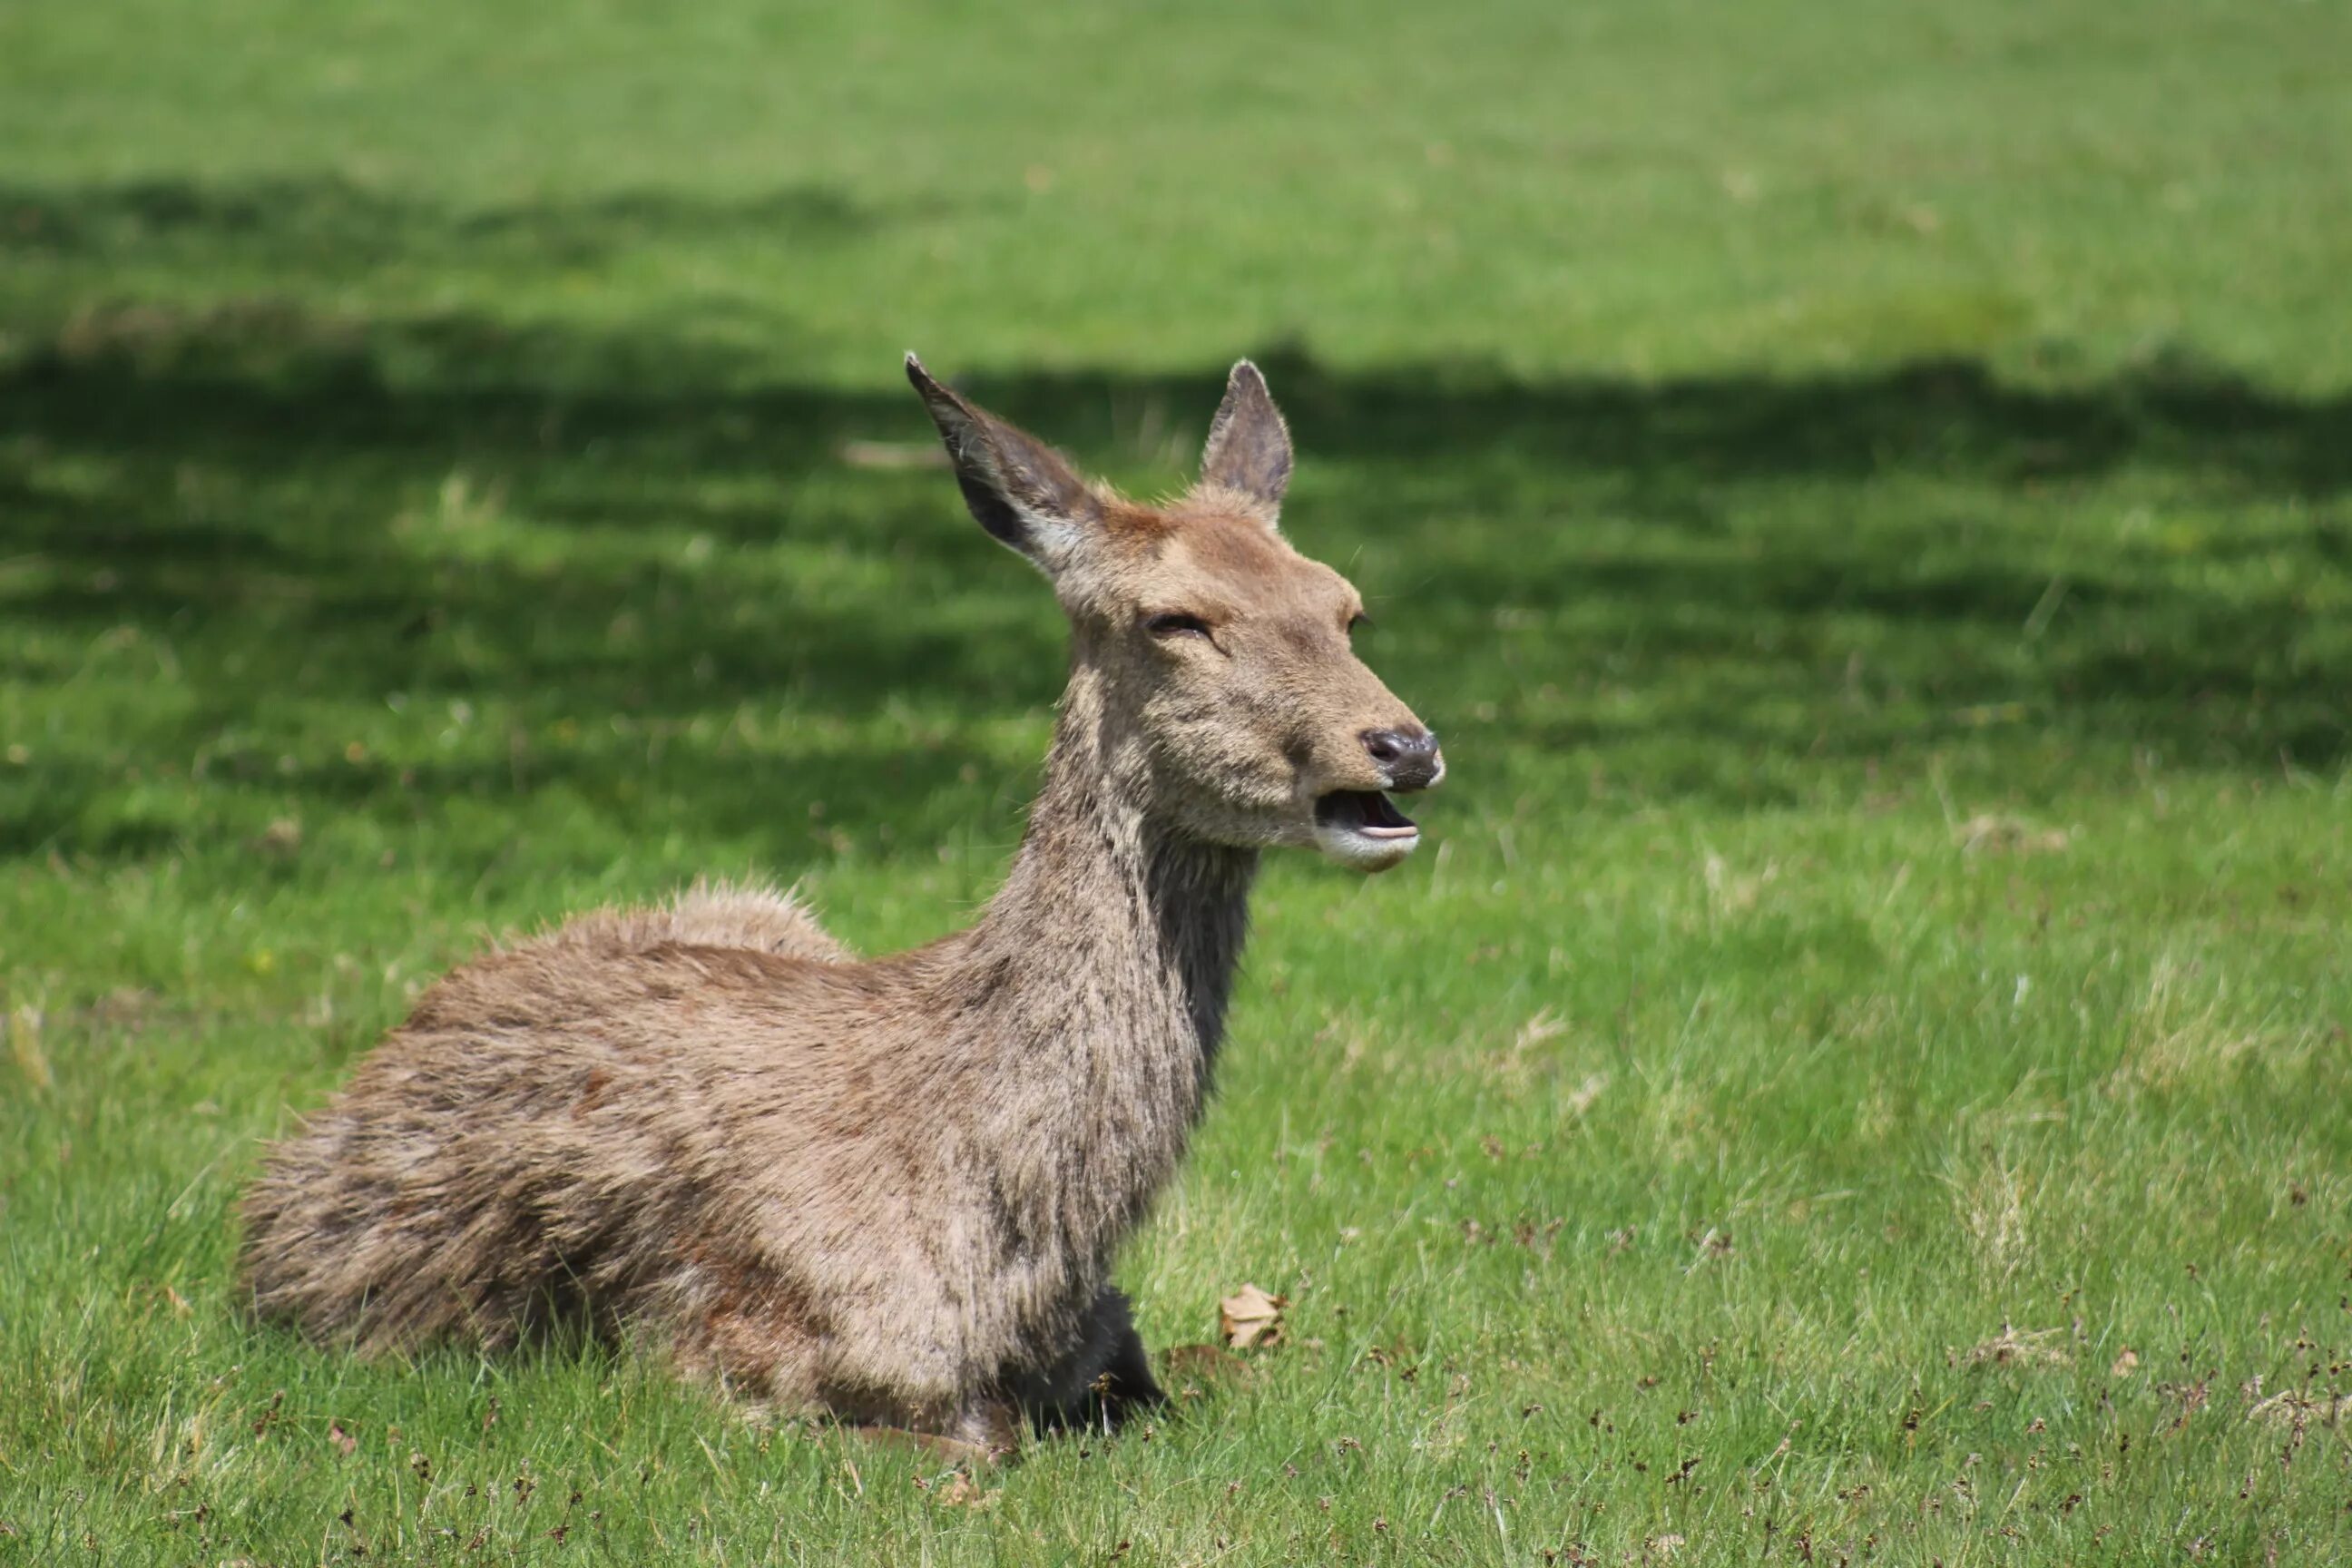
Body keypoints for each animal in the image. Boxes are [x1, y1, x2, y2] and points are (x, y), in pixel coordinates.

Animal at [243, 355, 1448, 1457]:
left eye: (1346, 606)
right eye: (1175, 619)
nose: (1404, 742)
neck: (1011, 1238)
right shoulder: (721, 1350)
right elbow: (976, 1438)